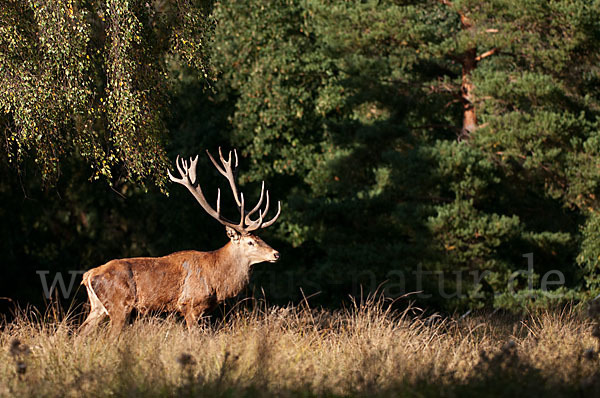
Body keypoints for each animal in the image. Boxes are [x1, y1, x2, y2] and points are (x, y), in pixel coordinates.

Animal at [79, 148, 282, 336]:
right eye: (250, 242)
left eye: (260, 238)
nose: (276, 253)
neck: (216, 279)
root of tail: (88, 275)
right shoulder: (190, 304)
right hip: (119, 305)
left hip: (98, 308)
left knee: (80, 334)